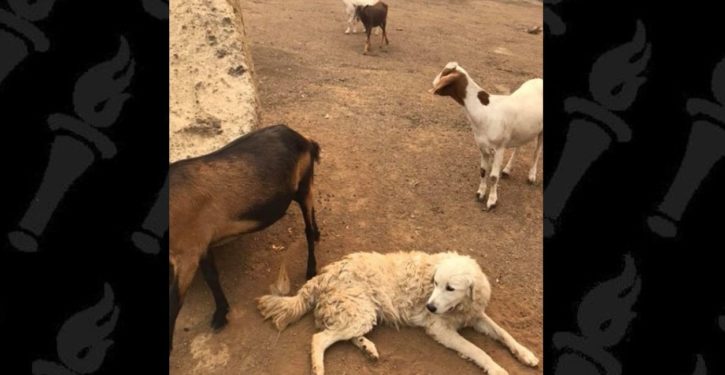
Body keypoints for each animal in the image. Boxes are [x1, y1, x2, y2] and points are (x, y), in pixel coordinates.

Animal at [170, 124, 320, 356]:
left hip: (303, 185)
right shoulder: (201, 246)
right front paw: (221, 313)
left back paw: (311, 269)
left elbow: (175, 302)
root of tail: (303, 139)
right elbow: (212, 277)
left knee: (308, 229)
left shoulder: (188, 253)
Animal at [256, 253, 536, 375]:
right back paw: (319, 367)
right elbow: (478, 351)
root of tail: (323, 274)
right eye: (435, 283)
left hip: (362, 314)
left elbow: (504, 333)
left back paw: (368, 348)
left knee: (340, 334)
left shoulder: (475, 315)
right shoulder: (440, 329)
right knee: (319, 339)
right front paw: (497, 369)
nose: (429, 307)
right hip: (361, 311)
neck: (459, 307)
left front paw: (526, 354)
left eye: (450, 288)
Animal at [428, 61, 540, 209]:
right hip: (522, 130)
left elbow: (493, 176)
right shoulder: (482, 146)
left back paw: (531, 176)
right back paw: (507, 169)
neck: (485, 111)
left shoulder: (499, 148)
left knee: (537, 151)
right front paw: (480, 193)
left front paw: (492, 201)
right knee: (519, 146)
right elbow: (482, 171)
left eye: (445, 73)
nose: (433, 82)